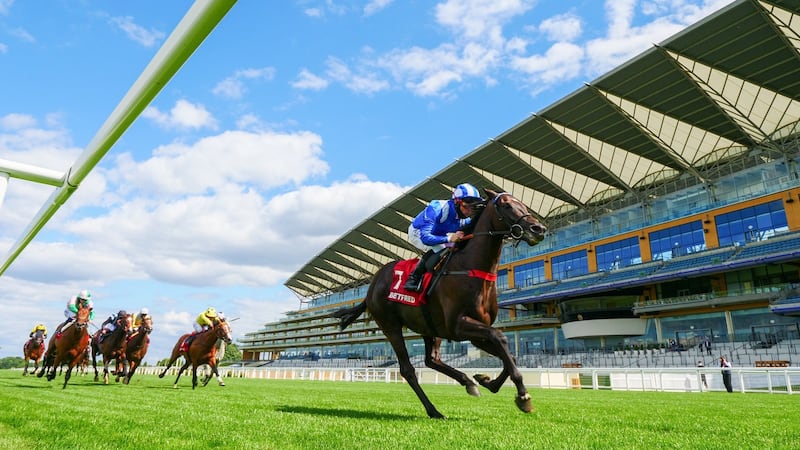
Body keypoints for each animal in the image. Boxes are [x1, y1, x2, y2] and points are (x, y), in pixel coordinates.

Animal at [330, 189, 544, 418]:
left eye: (522, 204)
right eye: (506, 205)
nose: (538, 229)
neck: (469, 268)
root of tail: (372, 284)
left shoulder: (475, 330)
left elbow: (508, 352)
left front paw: (487, 381)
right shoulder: (458, 325)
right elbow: (500, 337)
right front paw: (523, 396)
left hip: (430, 327)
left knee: (431, 359)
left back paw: (467, 382)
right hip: (391, 326)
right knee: (408, 369)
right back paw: (434, 410)